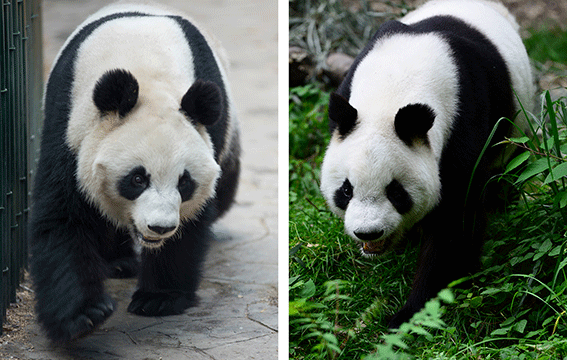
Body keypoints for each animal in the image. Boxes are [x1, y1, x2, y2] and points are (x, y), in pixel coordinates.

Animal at [28, 3, 240, 346]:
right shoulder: (68, 126)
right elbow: (64, 216)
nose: (160, 227)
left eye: (184, 182)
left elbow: (192, 224)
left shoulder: (208, 130)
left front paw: (160, 298)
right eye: (137, 179)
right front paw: (85, 315)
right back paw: (117, 262)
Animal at [322, 0, 536, 330]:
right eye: (346, 190)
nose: (368, 234)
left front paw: (409, 313)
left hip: (515, 127)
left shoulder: (463, 120)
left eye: (396, 192)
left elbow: (455, 223)